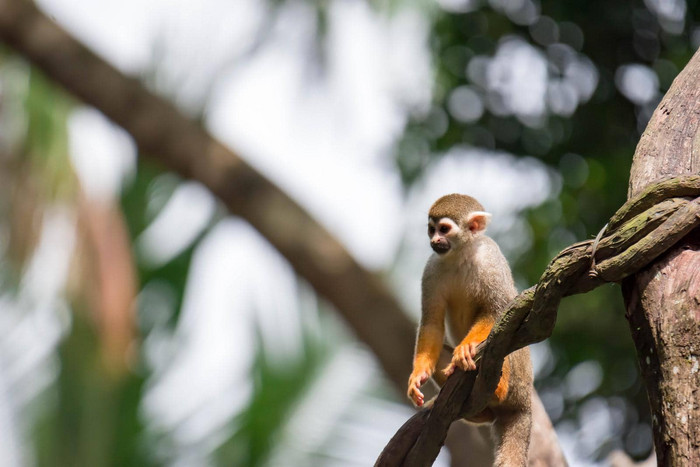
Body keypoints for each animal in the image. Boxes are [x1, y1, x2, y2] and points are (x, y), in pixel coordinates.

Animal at [408, 195, 532, 467]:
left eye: (444, 229)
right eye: (431, 229)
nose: (434, 240)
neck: (460, 254)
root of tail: (525, 404)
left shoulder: (490, 257)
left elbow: (498, 310)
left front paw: (466, 348)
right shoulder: (431, 268)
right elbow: (432, 322)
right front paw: (418, 375)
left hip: (519, 385)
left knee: (506, 336)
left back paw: (497, 389)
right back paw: (480, 411)